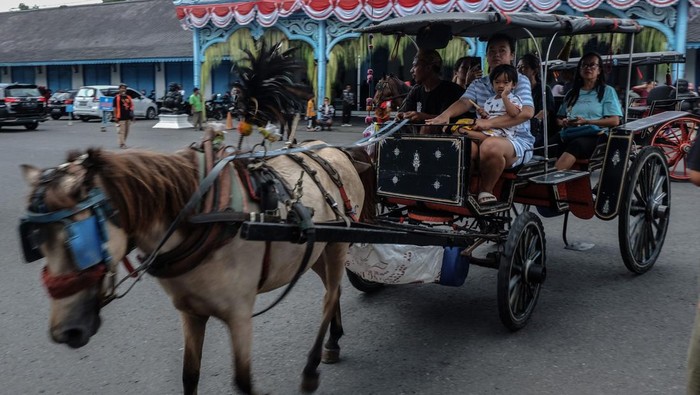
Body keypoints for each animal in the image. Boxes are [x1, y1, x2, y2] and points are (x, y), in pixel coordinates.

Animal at [17, 134, 378, 395]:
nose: (65, 331)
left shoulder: (239, 314)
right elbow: (189, 376)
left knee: (329, 297)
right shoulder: (190, 313)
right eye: (35, 242)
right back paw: (333, 340)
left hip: (337, 244)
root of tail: (334, 150)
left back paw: (311, 367)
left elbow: (243, 382)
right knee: (333, 291)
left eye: (79, 242)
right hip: (318, 248)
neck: (203, 216)